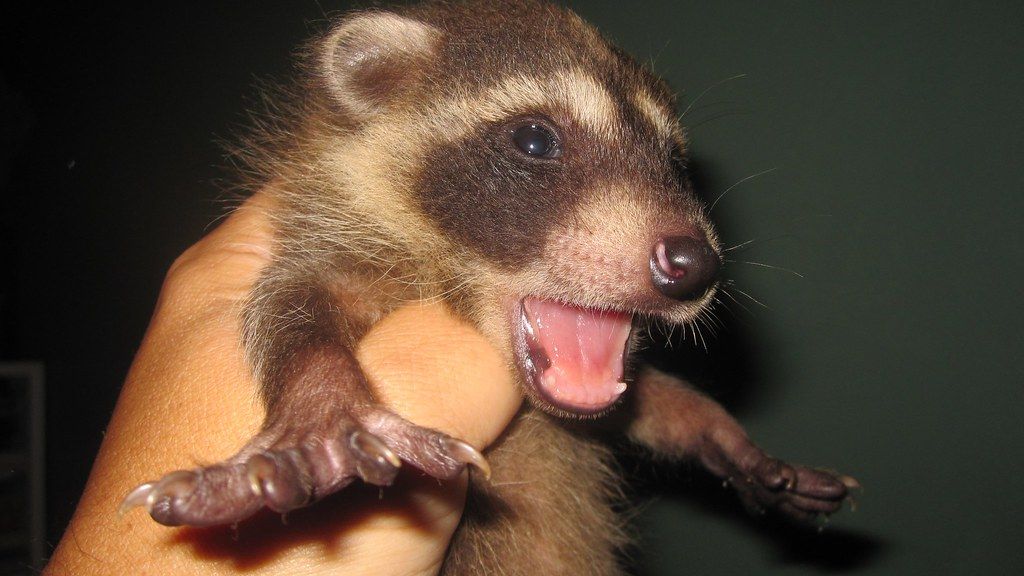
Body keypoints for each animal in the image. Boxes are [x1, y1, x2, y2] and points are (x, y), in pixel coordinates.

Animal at [121, 1, 856, 573]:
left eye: (675, 161)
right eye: (534, 140)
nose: (694, 264)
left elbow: (641, 400)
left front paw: (718, 431)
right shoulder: (324, 237)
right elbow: (288, 305)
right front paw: (322, 404)